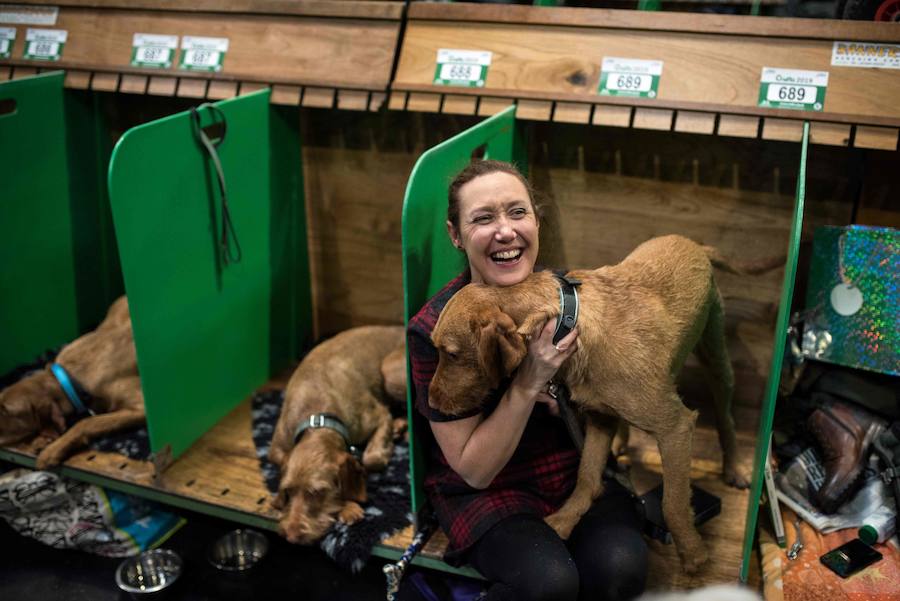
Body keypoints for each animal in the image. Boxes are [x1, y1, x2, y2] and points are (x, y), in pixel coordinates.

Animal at [0, 296, 144, 468]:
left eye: (7, 411)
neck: (70, 377)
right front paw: (41, 440)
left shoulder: (140, 407)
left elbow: (86, 422)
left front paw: (53, 450)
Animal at [268, 326, 406, 548]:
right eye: (288, 491)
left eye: (317, 492)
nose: (291, 536)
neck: (318, 420)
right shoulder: (276, 449)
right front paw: (347, 506)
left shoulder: (380, 416)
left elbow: (371, 458)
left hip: (390, 372)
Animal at [428, 234, 772, 572]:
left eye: (452, 354)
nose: (430, 401)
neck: (569, 321)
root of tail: (694, 243)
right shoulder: (597, 419)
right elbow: (587, 476)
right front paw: (567, 517)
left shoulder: (675, 428)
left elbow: (672, 503)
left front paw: (692, 552)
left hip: (717, 358)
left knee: (726, 417)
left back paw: (734, 467)